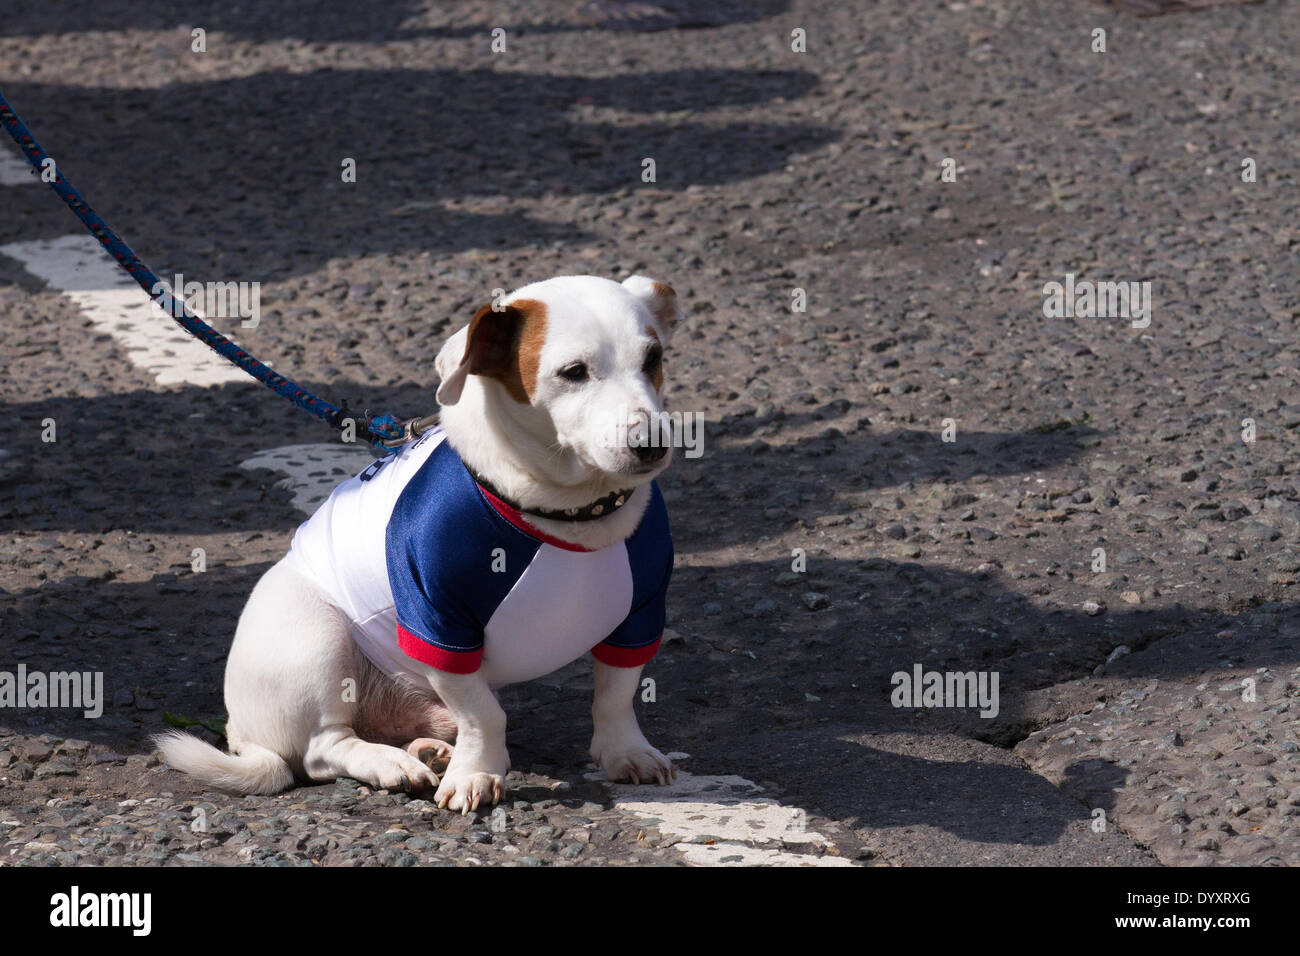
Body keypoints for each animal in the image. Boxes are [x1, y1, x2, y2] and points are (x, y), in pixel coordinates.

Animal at [158, 277, 686, 816]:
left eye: (653, 358)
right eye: (573, 372)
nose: (652, 443)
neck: (565, 513)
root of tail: (241, 733)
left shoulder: (639, 614)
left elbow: (615, 695)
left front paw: (626, 752)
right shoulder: (439, 625)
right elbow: (484, 715)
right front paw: (477, 774)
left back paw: (429, 751)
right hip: (316, 636)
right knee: (322, 749)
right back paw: (390, 763)